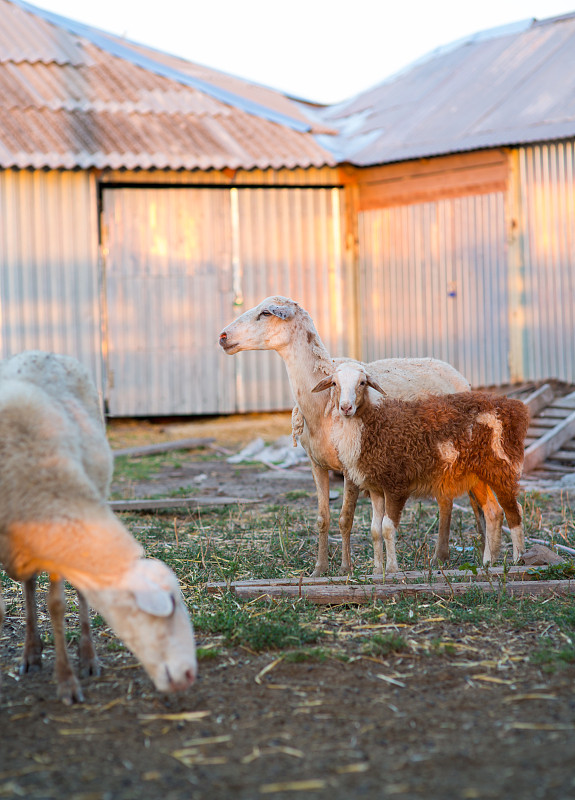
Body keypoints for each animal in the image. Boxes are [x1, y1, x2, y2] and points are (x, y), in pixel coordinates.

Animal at [0, 354, 198, 704]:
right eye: (171, 608)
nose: (189, 674)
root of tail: (41, 352)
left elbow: (56, 605)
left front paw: (67, 680)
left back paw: (87, 655)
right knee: (28, 585)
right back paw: (31, 652)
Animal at [218, 296, 502, 572]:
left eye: (266, 313)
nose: (222, 336)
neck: (322, 404)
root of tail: (452, 370)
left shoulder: (350, 467)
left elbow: (346, 518)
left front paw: (346, 568)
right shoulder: (316, 463)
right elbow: (323, 518)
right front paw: (319, 569)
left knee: (469, 502)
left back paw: (479, 551)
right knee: (445, 500)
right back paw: (440, 557)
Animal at [312, 366, 528, 572]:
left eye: (362, 383)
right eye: (334, 383)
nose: (346, 407)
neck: (373, 424)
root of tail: (514, 407)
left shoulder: (395, 484)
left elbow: (387, 527)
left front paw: (392, 569)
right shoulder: (375, 488)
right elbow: (374, 530)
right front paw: (377, 570)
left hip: (501, 466)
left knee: (513, 510)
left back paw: (518, 559)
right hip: (477, 474)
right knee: (494, 512)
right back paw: (488, 562)